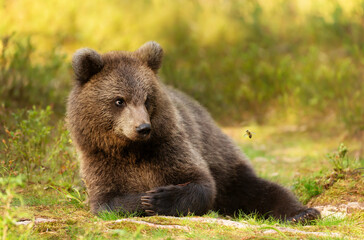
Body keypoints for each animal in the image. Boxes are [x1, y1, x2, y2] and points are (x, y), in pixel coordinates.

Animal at [67, 41, 320, 223]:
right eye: (119, 100)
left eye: (147, 99)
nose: (143, 128)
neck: (130, 150)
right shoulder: (101, 160)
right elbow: (108, 202)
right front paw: (144, 199)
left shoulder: (169, 147)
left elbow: (201, 183)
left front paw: (158, 198)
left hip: (224, 163)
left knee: (260, 189)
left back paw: (302, 214)